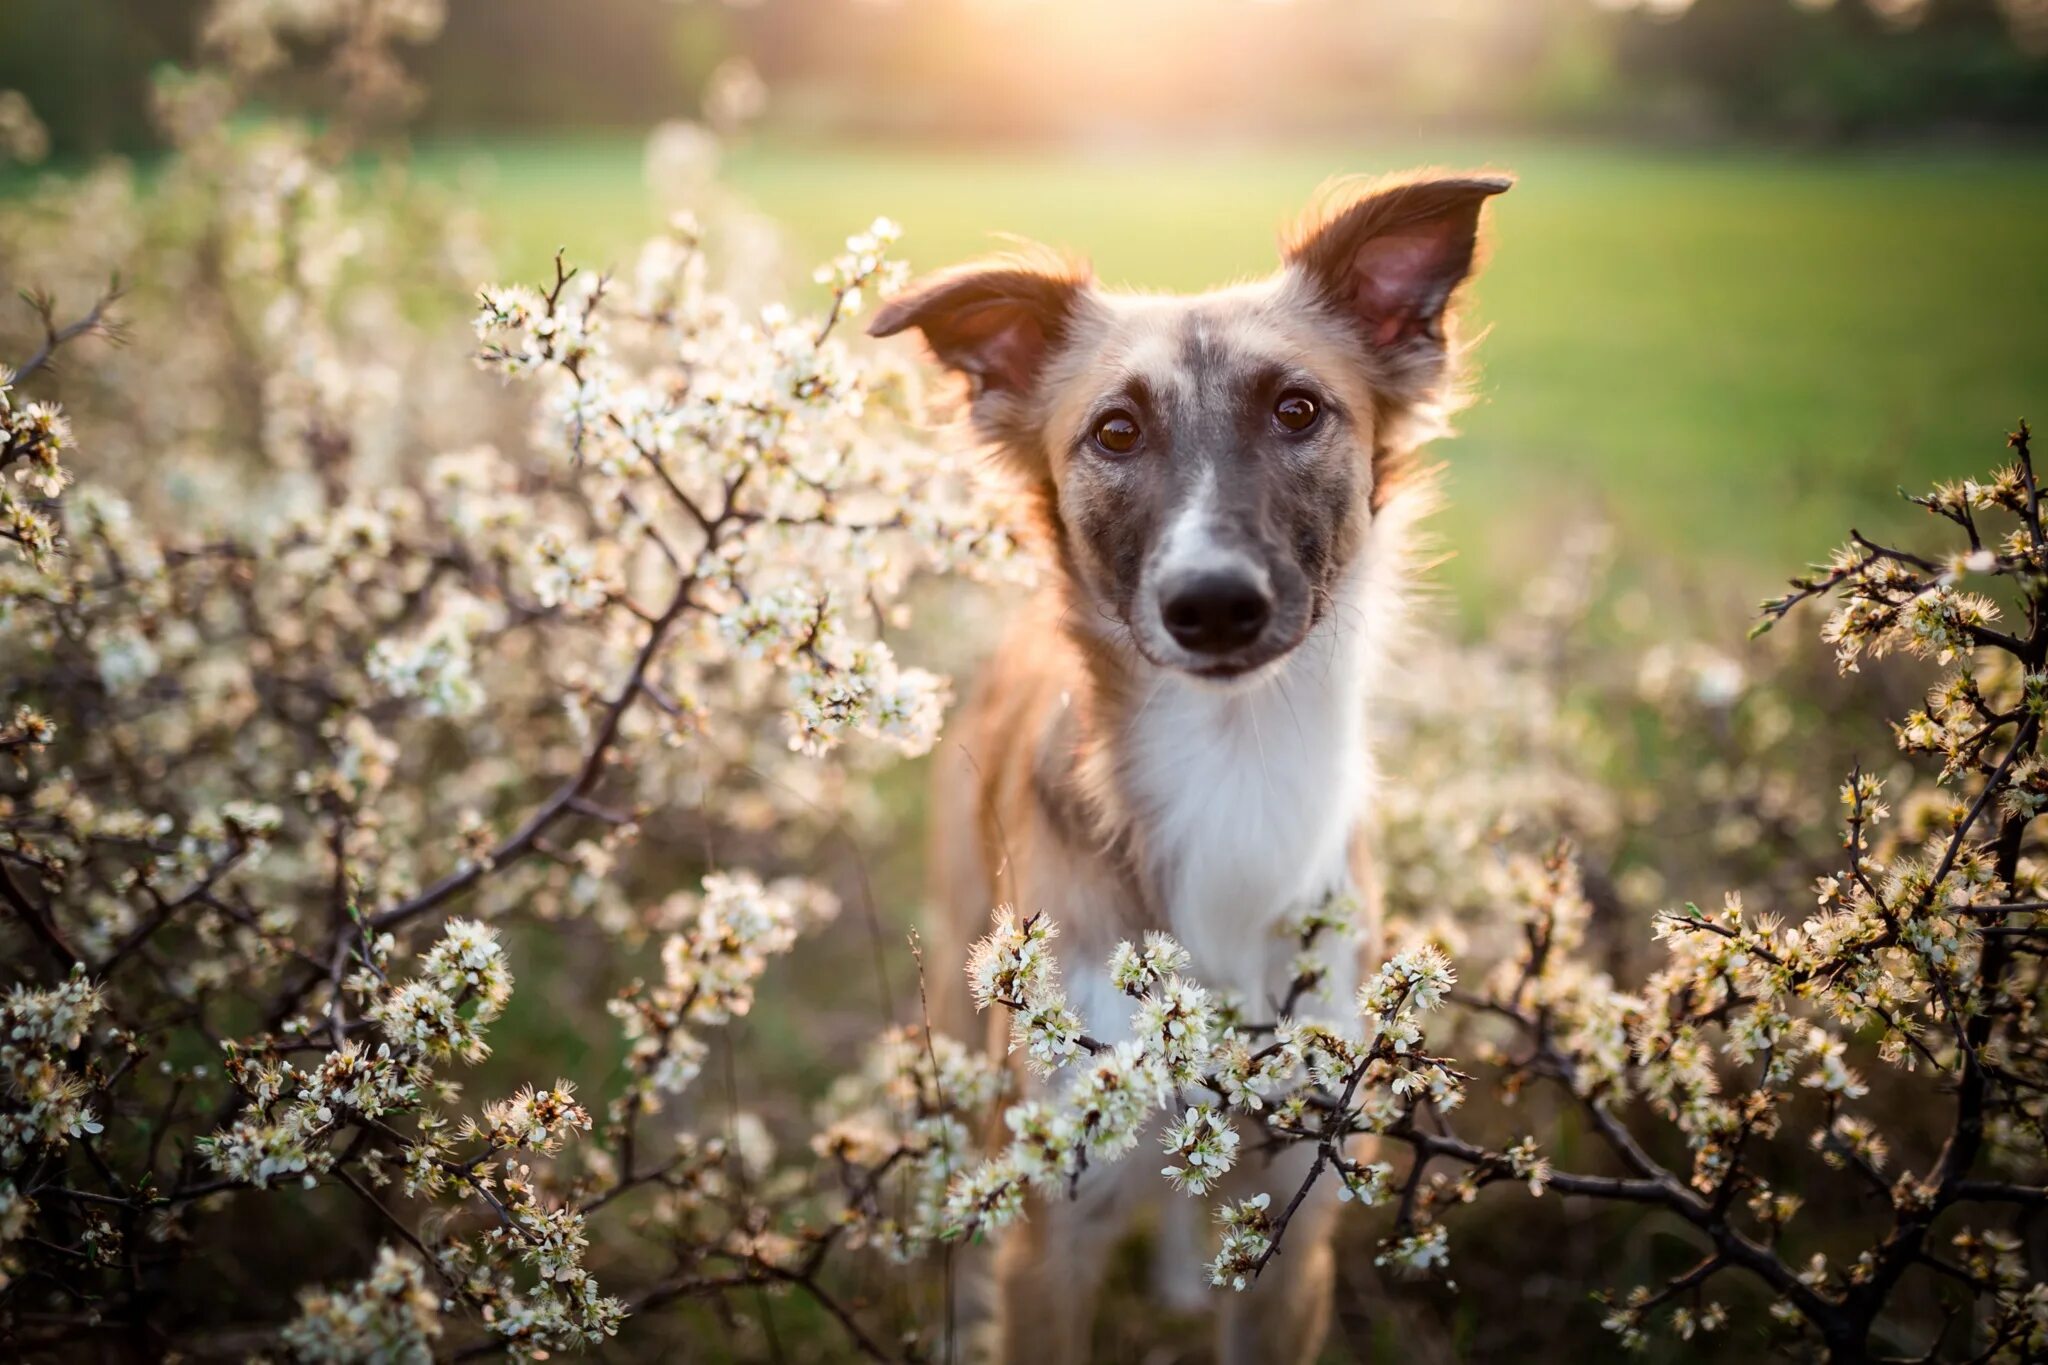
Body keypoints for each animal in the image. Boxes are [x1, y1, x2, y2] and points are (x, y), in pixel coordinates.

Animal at [872, 170, 1515, 1365]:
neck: (1232, 765)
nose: (1211, 603)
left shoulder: (1295, 1211)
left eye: (1298, 410)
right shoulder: (1054, 1223)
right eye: (1115, 430)